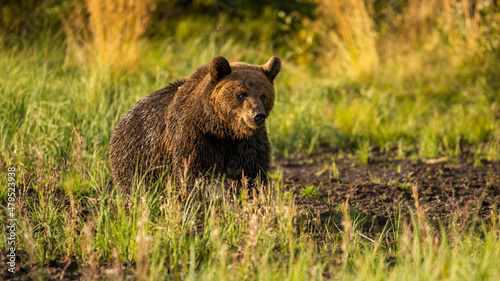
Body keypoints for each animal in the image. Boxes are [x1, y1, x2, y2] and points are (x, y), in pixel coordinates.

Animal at [109, 55, 282, 188]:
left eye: (263, 95)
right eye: (241, 94)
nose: (258, 115)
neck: (222, 130)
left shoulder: (246, 142)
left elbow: (252, 171)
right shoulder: (195, 136)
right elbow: (195, 172)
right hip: (137, 154)